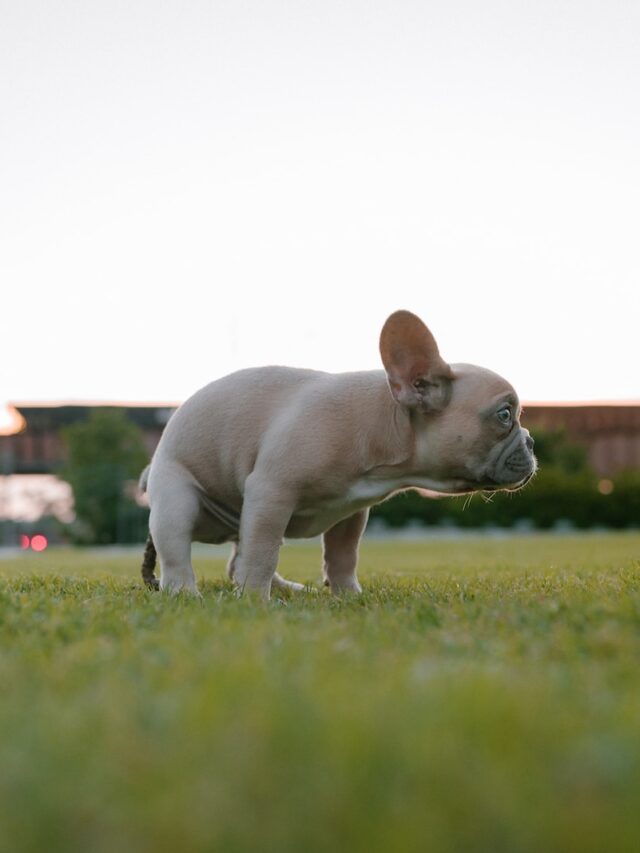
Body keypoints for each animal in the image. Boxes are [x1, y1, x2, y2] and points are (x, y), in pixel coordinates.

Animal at [140, 312, 536, 600]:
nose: (531, 442)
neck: (386, 421)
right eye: (504, 415)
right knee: (178, 552)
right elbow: (262, 553)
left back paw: (286, 588)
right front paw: (254, 600)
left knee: (239, 555)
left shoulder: (351, 511)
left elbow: (343, 555)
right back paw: (186, 593)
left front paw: (348, 595)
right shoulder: (272, 492)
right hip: (177, 499)